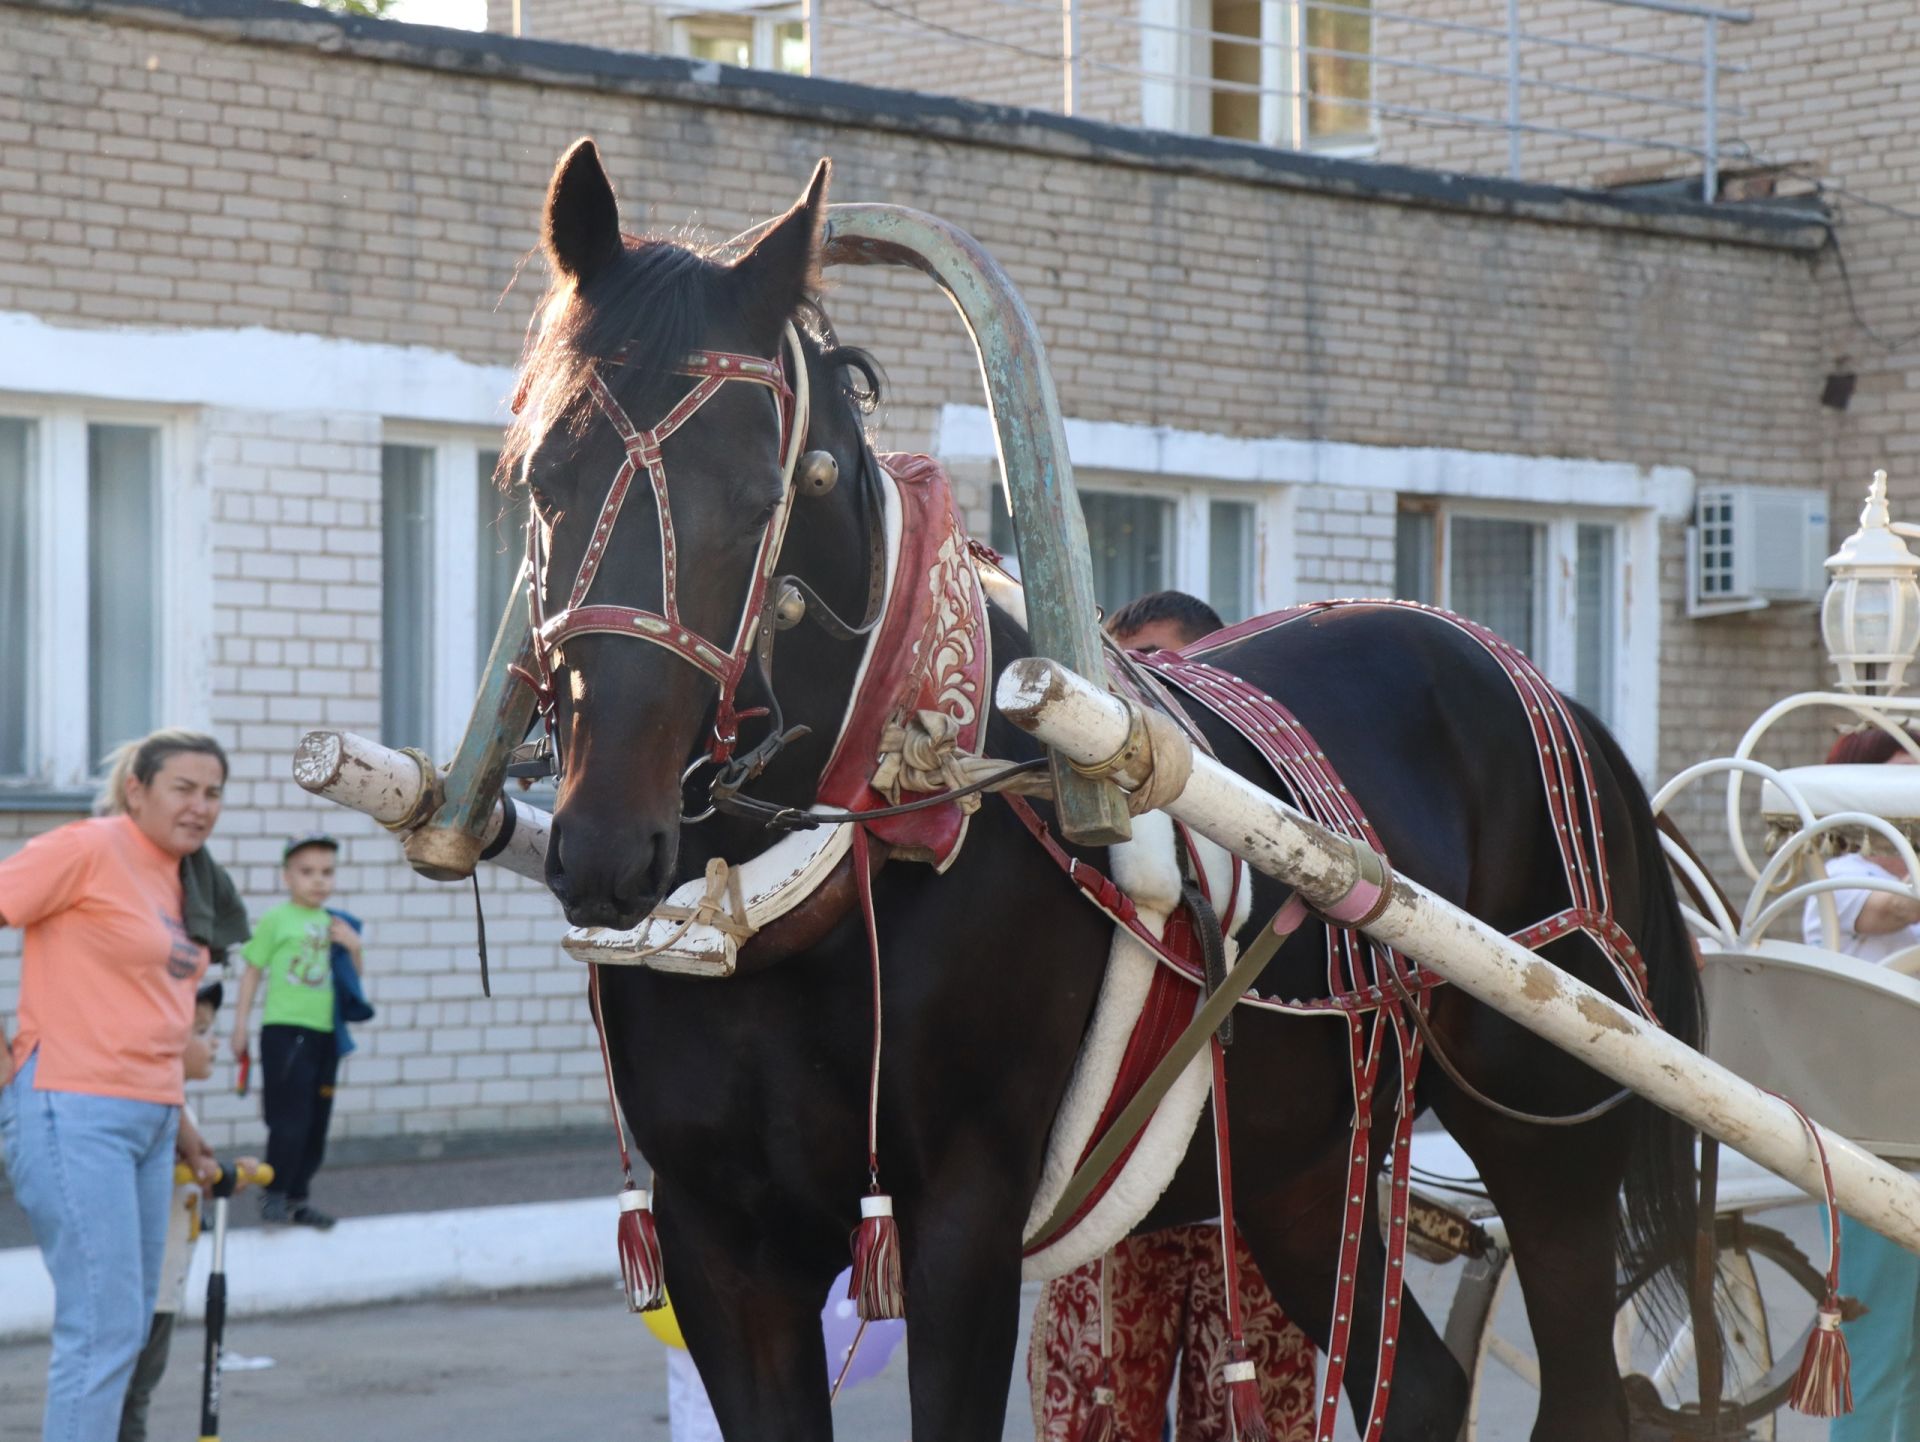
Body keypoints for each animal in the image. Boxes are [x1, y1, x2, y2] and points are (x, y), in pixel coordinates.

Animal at [503, 138, 1704, 1442]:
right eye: (541, 476)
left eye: (757, 489)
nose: (606, 844)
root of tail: (1541, 684)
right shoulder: (722, 1244)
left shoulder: (961, 1223)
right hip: (1299, 1155)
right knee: (1423, 1381)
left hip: (1551, 1137)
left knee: (1581, 1374)